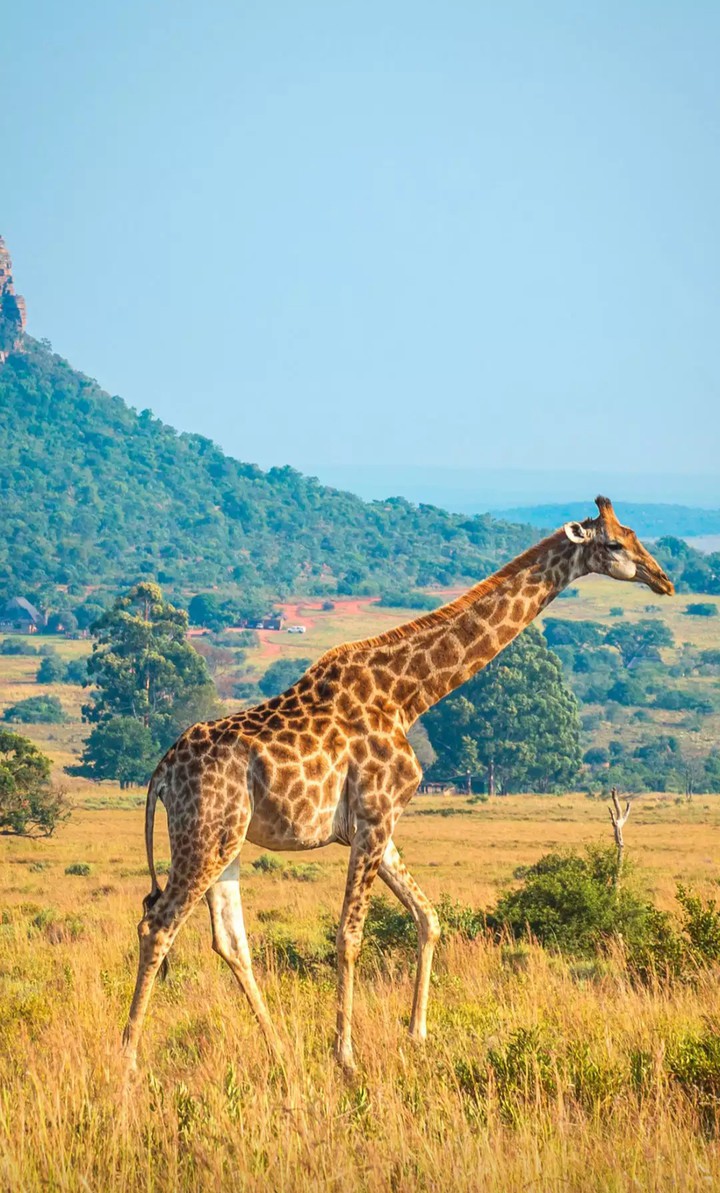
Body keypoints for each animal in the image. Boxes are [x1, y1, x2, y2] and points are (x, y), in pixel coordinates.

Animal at [121, 496, 673, 1075]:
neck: (409, 695)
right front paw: (345, 1055)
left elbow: (428, 917)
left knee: (229, 941)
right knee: (158, 925)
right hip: (205, 835)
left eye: (634, 534)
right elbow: (349, 935)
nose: (663, 579)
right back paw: (129, 1057)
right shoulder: (374, 817)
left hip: (227, 840)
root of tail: (161, 772)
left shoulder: (378, 825)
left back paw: (279, 1051)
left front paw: (417, 1034)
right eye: (613, 543)